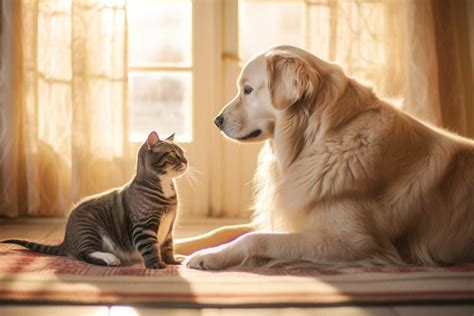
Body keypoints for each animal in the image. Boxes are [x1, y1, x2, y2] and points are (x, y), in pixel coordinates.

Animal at [1, 131, 187, 270]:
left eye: (183, 153)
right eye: (173, 153)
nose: (186, 161)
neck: (164, 186)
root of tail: (66, 241)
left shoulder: (169, 227)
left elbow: (168, 246)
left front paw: (172, 261)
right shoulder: (143, 225)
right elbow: (149, 246)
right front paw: (156, 265)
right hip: (89, 228)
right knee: (83, 254)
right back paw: (110, 259)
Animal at [184, 44, 474, 270]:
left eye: (247, 90)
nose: (216, 120)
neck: (318, 139)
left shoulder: (354, 243)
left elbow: (255, 239)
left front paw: (208, 256)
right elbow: (224, 230)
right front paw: (184, 244)